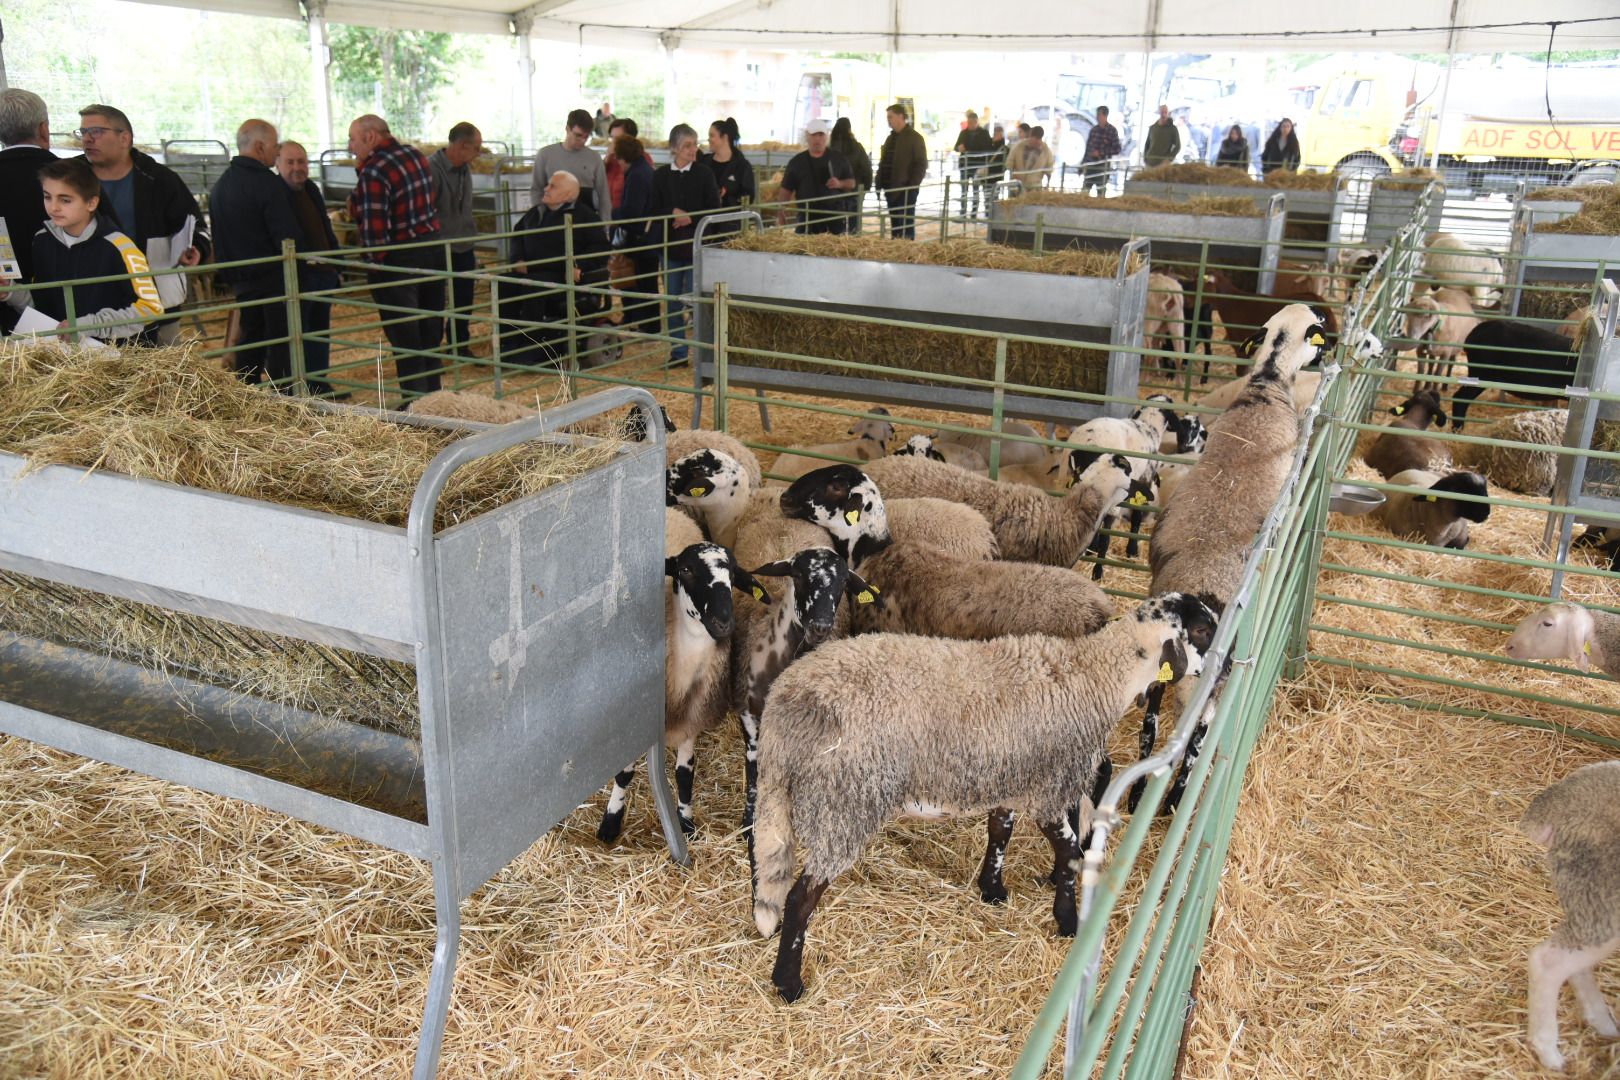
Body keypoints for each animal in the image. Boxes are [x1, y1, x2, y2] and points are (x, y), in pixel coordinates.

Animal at [596, 508, 771, 841]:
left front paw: (686, 824)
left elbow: (684, 775)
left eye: (733, 575)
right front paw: (611, 822)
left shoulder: (693, 717)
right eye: (687, 570)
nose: (723, 622)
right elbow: (624, 773)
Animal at [745, 595, 1218, 1003]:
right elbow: (1069, 853)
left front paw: (992, 889)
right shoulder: (1049, 789)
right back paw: (788, 983)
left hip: (784, 794)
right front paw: (1067, 921)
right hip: (843, 802)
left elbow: (1000, 831)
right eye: (1201, 628)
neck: (1097, 675)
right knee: (800, 898)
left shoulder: (1010, 777)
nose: (1228, 666)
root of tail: (789, 704)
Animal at [1134, 304, 1334, 809]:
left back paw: (1139, 793)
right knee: (1193, 745)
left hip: (1162, 672)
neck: (1266, 383)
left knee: (1151, 725)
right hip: (1213, 692)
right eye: (1320, 325)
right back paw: (1173, 802)